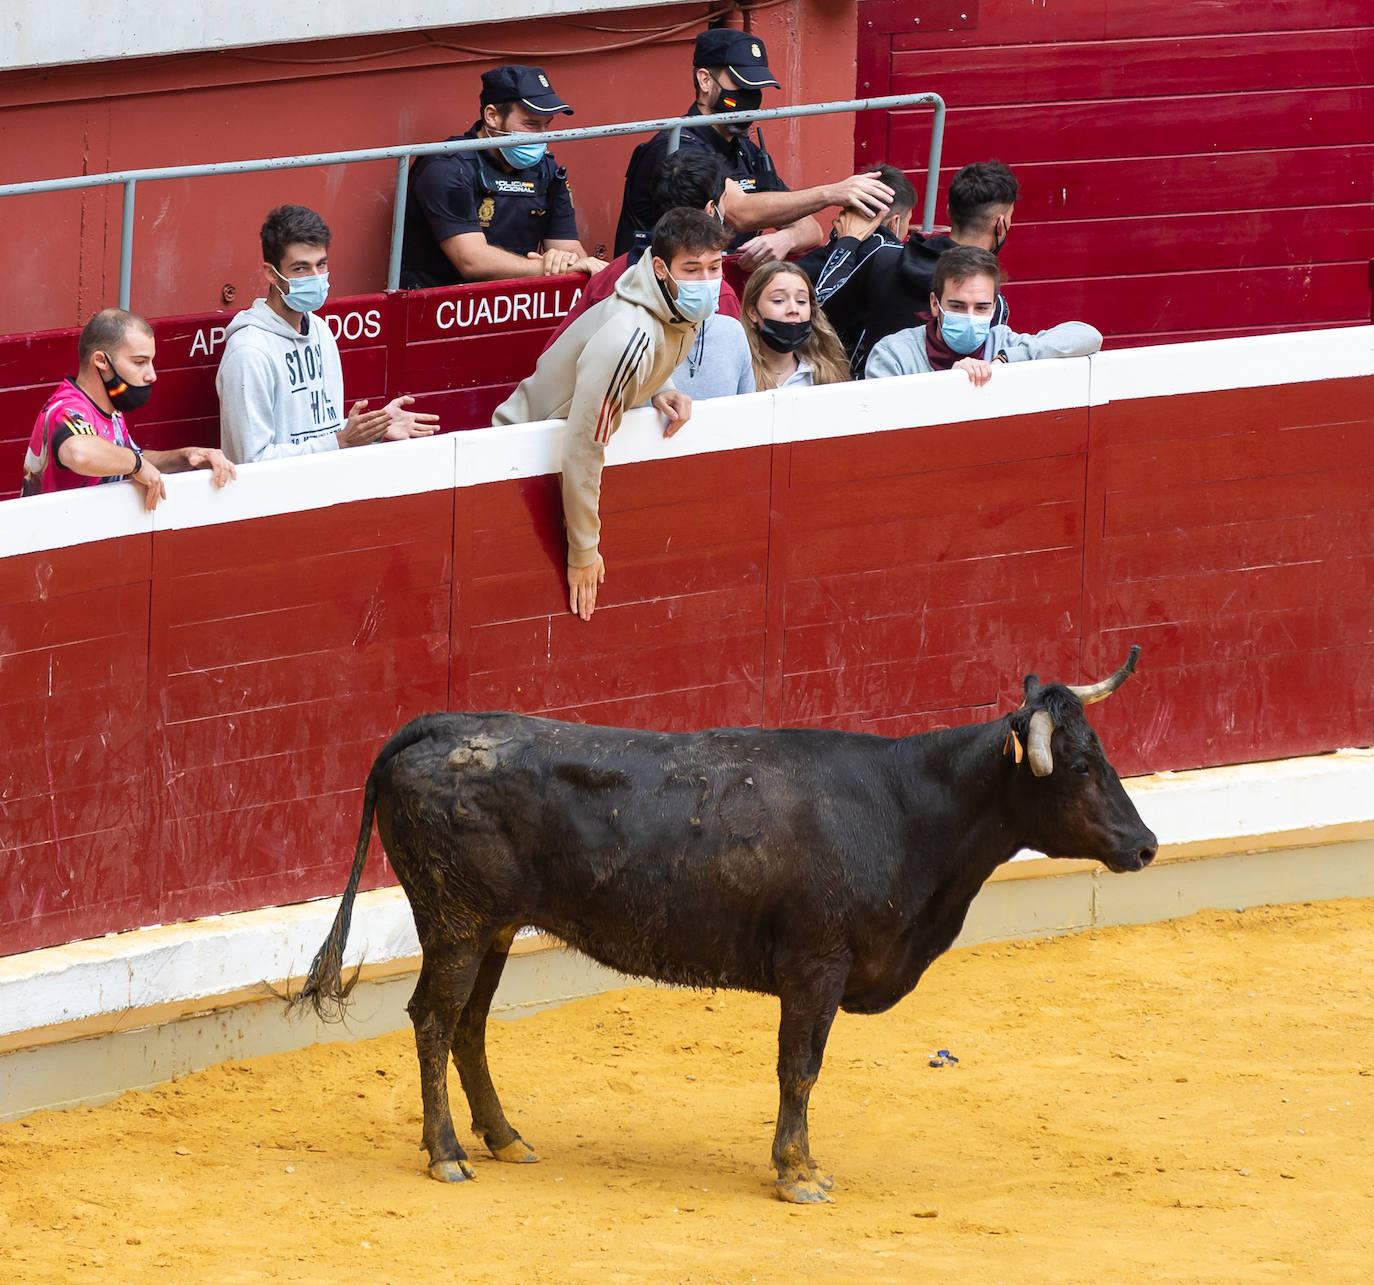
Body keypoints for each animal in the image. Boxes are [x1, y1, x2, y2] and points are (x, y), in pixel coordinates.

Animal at [295, 654, 1154, 1203]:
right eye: (1080, 767)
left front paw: (799, 1163)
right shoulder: (815, 966)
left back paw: (505, 1137)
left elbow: (800, 1072)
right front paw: (797, 1172)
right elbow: (799, 1069)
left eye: (1103, 751)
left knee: (469, 1025)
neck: (904, 804)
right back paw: (446, 1154)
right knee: (434, 1018)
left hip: (495, 926)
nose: (1145, 844)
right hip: (457, 920)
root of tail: (430, 726)